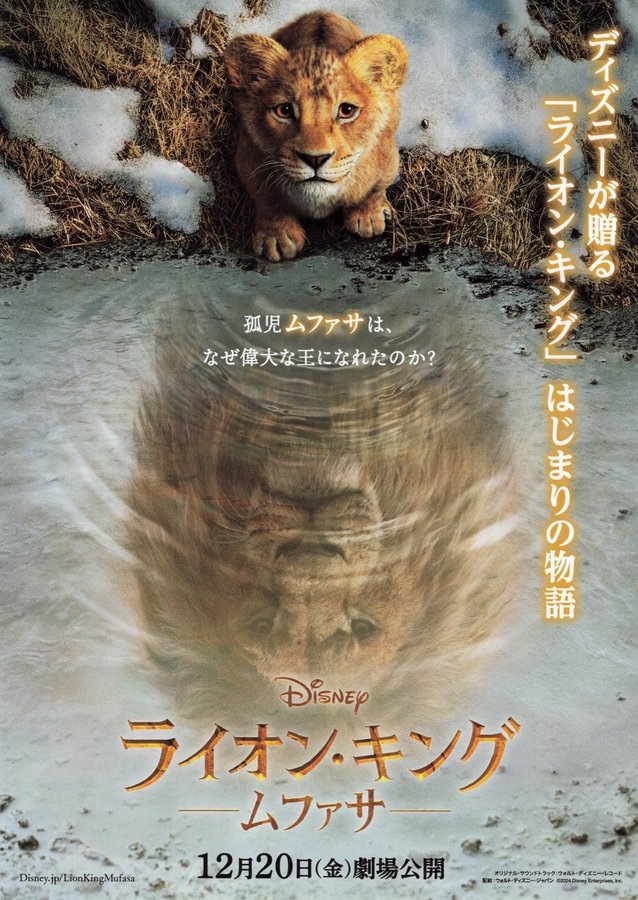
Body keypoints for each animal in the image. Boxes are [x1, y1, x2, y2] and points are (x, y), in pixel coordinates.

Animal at [224, 12, 408, 262]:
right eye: (284, 110)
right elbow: (267, 199)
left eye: (347, 110)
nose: (315, 159)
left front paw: (368, 216)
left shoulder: (388, 159)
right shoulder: (248, 159)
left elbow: (373, 189)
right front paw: (277, 236)